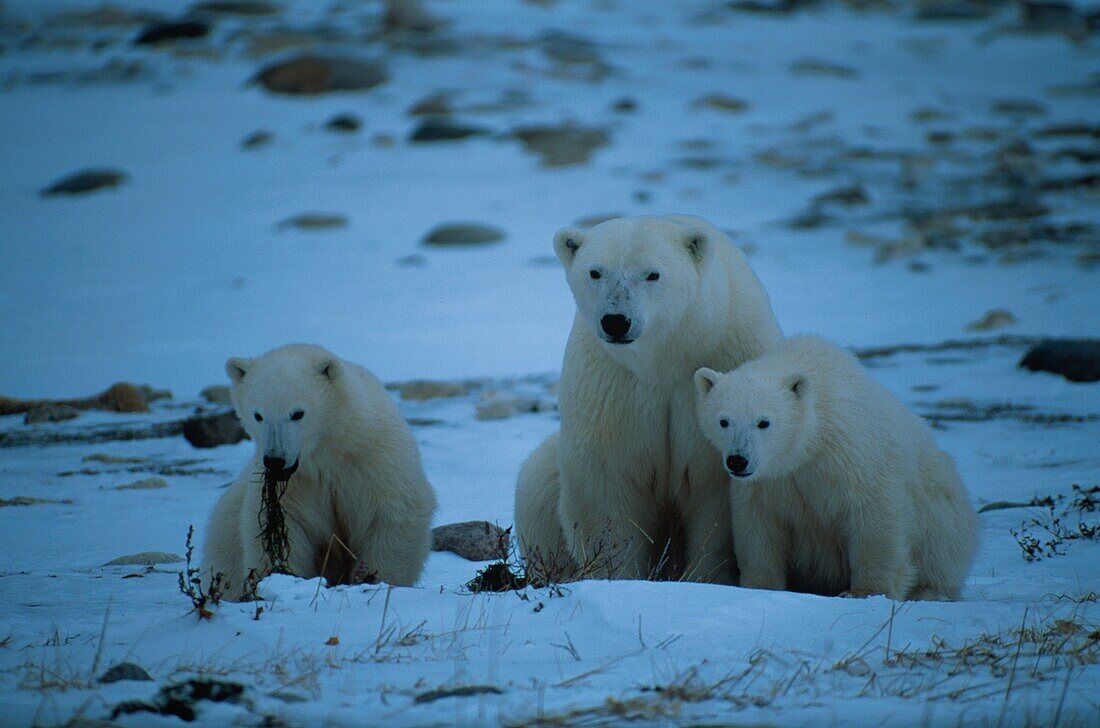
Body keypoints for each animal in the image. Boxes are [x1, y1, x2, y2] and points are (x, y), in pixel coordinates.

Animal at [514, 214, 783, 585]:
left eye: (652, 273)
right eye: (595, 272)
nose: (616, 321)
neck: (668, 358)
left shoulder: (724, 357)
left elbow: (713, 489)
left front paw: (705, 577)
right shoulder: (612, 383)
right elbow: (606, 476)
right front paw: (616, 575)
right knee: (535, 485)